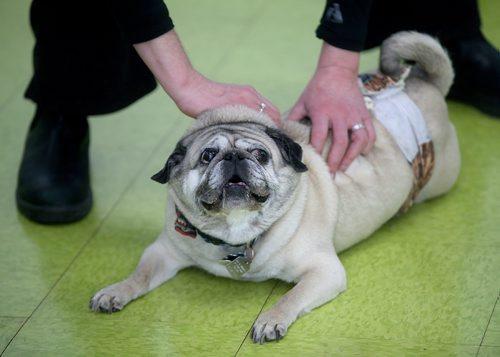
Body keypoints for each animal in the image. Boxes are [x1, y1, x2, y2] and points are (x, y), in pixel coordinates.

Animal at [90, 32, 460, 342]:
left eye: (260, 154)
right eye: (208, 155)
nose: (234, 157)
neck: (236, 236)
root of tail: (422, 82)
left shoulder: (324, 271)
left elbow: (290, 296)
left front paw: (271, 319)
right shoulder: (163, 252)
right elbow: (140, 275)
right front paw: (116, 291)